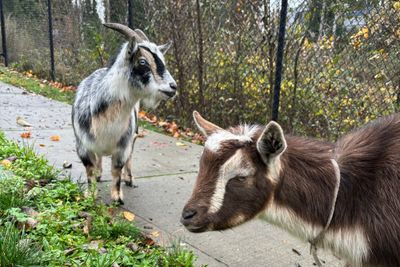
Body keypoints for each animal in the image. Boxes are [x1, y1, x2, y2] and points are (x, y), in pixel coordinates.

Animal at [71, 23, 177, 205]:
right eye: (142, 61)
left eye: (162, 61)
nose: (173, 87)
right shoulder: (82, 145)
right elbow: (89, 169)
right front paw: (90, 194)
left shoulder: (123, 146)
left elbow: (116, 170)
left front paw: (117, 197)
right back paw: (99, 173)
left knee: (129, 158)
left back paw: (129, 179)